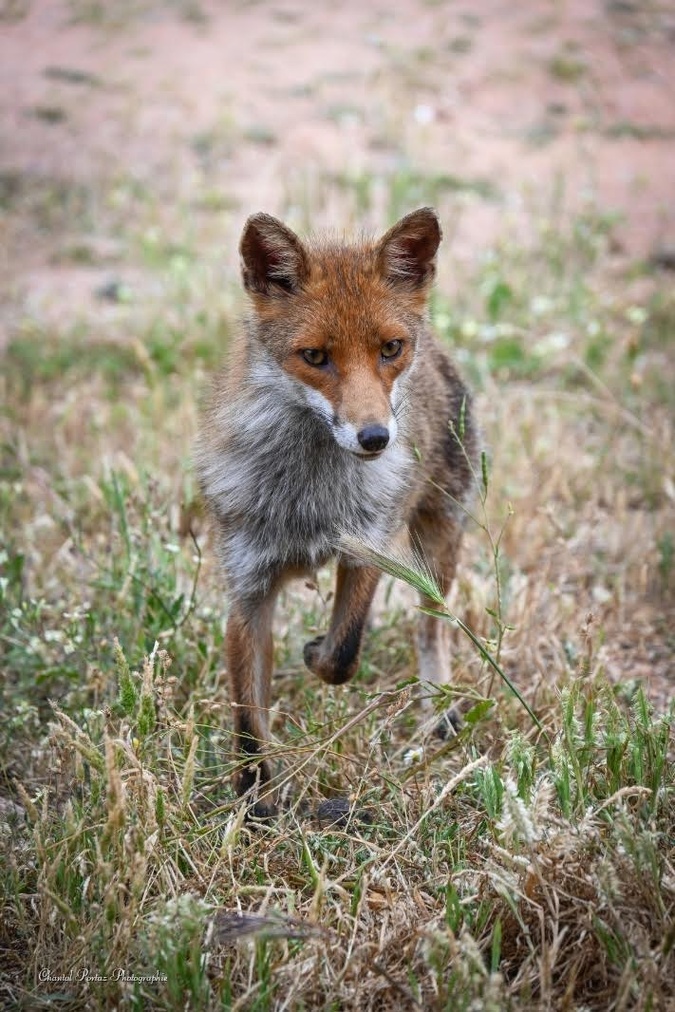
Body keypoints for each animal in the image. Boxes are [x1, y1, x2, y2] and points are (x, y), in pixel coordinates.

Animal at [196, 207, 477, 816]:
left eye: (389, 349)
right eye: (315, 357)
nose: (375, 439)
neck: (309, 499)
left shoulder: (369, 547)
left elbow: (343, 653)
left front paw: (315, 652)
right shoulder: (248, 590)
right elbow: (247, 723)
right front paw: (255, 806)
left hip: (438, 542)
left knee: (432, 629)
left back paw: (437, 711)